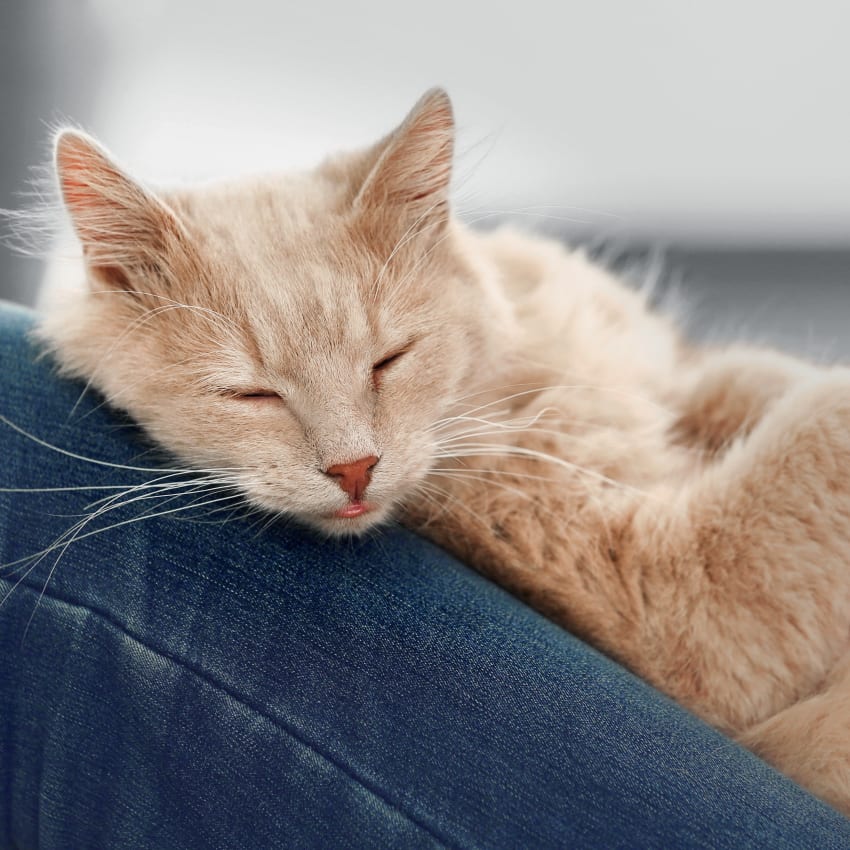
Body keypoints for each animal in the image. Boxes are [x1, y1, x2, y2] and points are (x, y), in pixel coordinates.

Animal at [36, 89, 848, 812]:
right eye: (251, 394)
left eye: (389, 360)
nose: (353, 468)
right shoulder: (675, 587)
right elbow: (819, 420)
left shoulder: (674, 377)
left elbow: (749, 379)